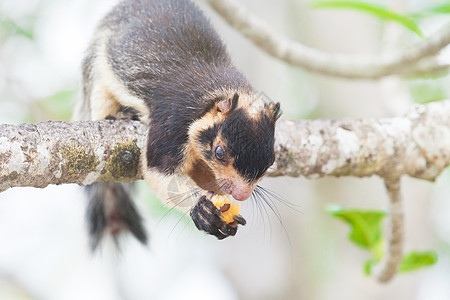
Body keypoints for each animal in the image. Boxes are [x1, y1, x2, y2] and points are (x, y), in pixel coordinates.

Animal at [74, 0, 282, 248]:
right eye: (219, 152)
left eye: (271, 161)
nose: (242, 194)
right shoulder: (172, 123)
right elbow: (160, 170)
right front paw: (202, 210)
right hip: (97, 71)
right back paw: (120, 115)